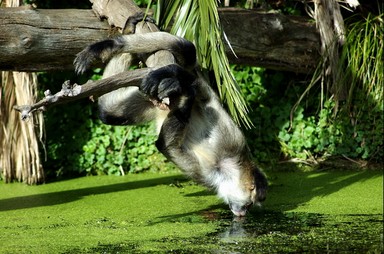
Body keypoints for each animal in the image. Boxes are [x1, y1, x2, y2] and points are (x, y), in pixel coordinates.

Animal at [74, 13, 268, 216]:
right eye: (250, 203)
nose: (242, 212)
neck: (229, 166)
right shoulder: (233, 143)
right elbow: (166, 142)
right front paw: (183, 86)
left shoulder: (210, 177)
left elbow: (165, 146)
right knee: (189, 57)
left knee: (108, 112)